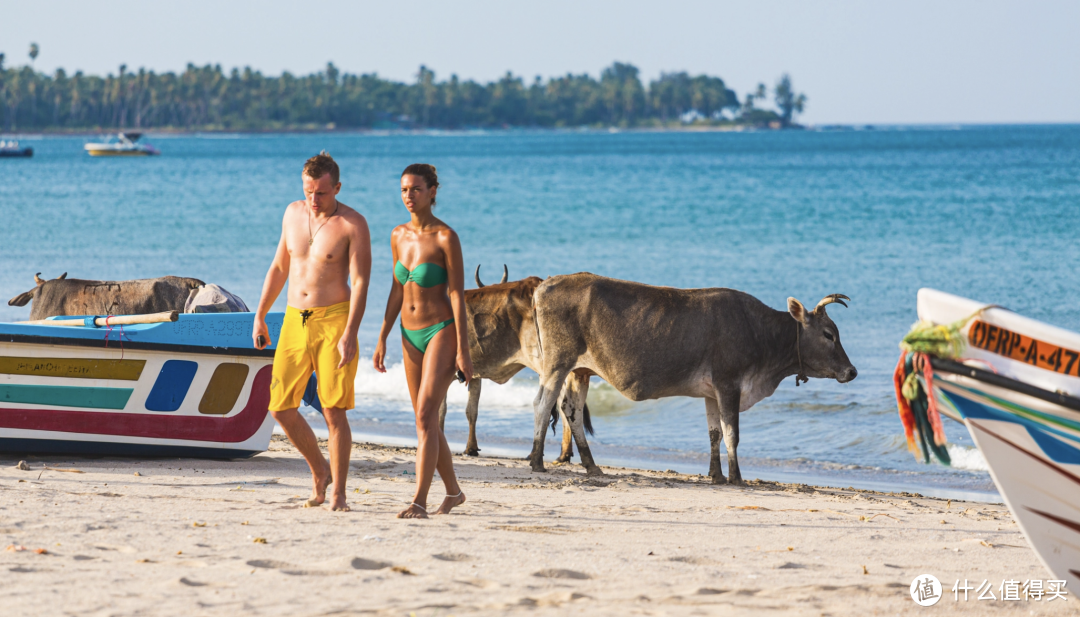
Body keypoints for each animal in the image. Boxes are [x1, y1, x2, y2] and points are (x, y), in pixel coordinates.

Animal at [527, 274, 855, 481]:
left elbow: (715, 433)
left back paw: (591, 466)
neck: (760, 334)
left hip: (579, 371)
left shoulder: (711, 392)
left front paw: (716, 475)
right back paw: (537, 460)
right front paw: (736, 477)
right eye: (829, 334)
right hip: (556, 364)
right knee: (542, 404)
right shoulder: (728, 383)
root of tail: (546, 284)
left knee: (571, 410)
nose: (852, 371)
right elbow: (732, 433)